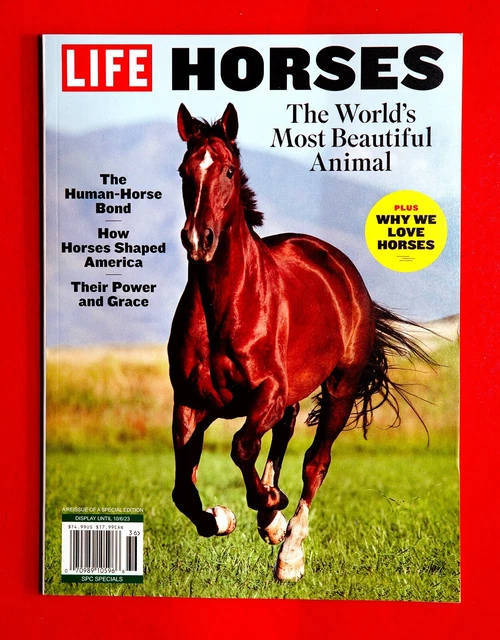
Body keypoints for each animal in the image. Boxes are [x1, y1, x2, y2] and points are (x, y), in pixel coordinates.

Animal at [168, 103, 432, 581]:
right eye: (184, 170)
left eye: (229, 170)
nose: (199, 240)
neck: (224, 308)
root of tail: (338, 264)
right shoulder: (190, 403)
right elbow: (184, 490)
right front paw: (223, 517)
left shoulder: (267, 393)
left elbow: (242, 447)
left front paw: (272, 515)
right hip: (283, 400)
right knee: (283, 438)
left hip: (340, 390)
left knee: (314, 462)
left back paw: (289, 551)